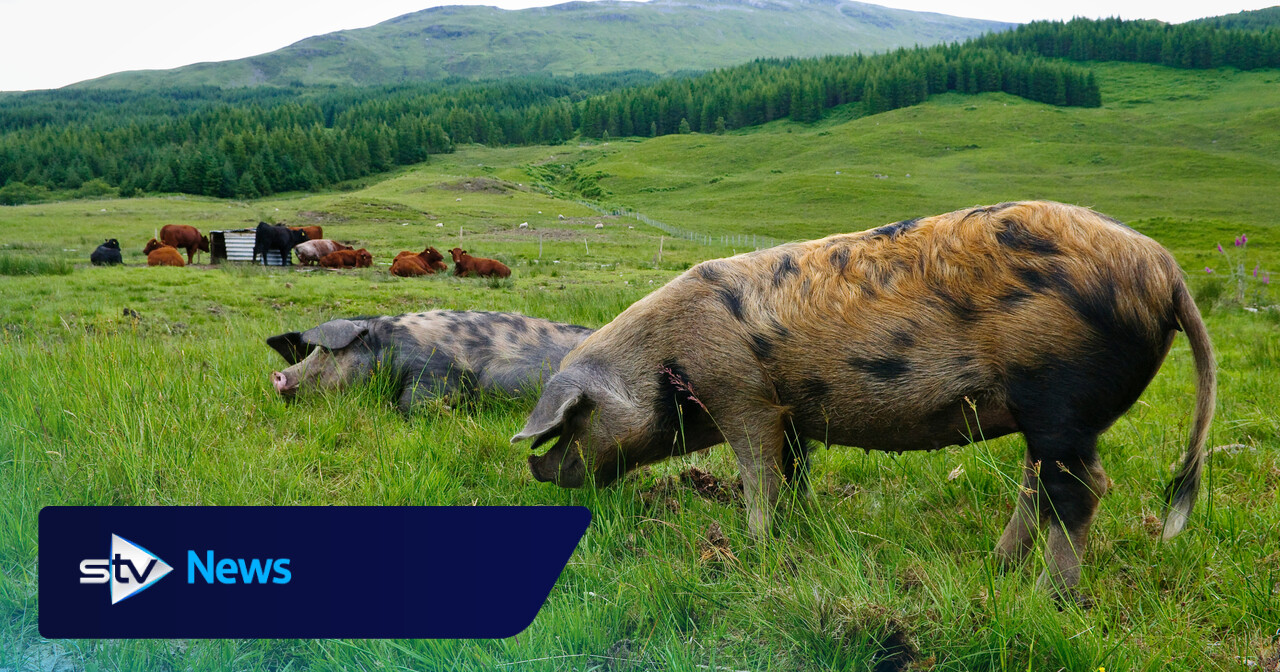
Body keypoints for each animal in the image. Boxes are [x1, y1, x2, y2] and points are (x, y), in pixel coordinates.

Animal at [267, 311, 595, 414]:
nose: (278, 376)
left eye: (326, 352)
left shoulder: (437, 369)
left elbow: (406, 403)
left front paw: (450, 412)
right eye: (310, 352)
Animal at [511, 201, 1216, 595]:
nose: (536, 468)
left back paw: (1047, 596)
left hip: (1059, 393)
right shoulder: (791, 414)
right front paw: (798, 528)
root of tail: (1166, 271)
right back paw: (997, 567)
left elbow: (757, 473)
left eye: (571, 420)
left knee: (1082, 487)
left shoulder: (742, 394)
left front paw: (755, 548)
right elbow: (792, 472)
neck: (665, 361)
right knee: (1040, 482)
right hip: (1045, 414)